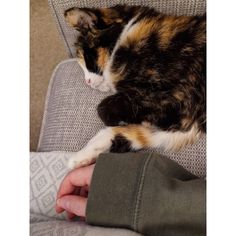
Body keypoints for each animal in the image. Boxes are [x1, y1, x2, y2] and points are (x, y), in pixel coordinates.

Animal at [63, 4, 206, 169]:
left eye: (87, 58)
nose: (87, 81)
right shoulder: (181, 123)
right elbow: (136, 135)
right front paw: (82, 157)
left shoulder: (175, 98)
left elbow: (104, 109)